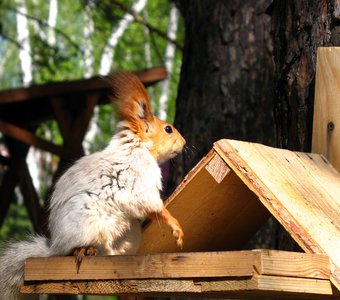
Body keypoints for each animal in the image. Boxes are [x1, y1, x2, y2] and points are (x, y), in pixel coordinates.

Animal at [0, 72, 186, 300]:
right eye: (168, 129)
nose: (184, 142)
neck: (137, 147)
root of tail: (54, 248)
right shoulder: (140, 181)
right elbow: (152, 205)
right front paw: (175, 225)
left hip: (129, 233)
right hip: (88, 225)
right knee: (73, 250)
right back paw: (84, 250)